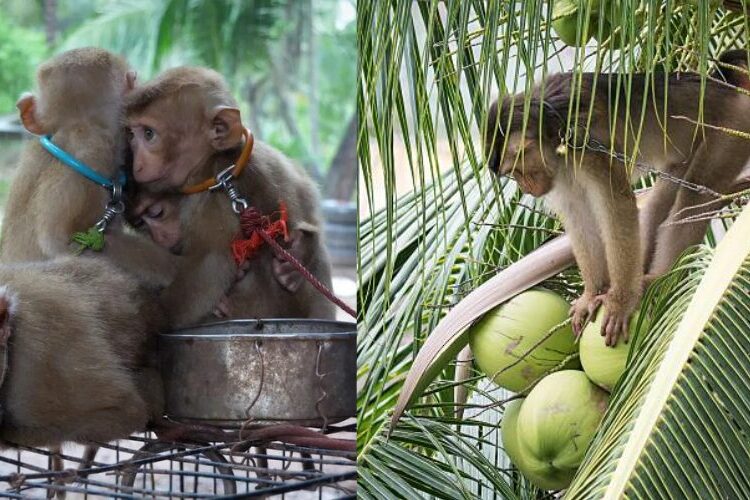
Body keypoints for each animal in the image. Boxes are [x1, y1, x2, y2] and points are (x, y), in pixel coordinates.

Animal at [125, 67, 337, 327]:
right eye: (131, 135)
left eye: (149, 134)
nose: (136, 164)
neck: (223, 169)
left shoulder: (212, 201)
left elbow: (209, 269)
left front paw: (160, 315)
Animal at [485, 69, 750, 346]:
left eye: (516, 172)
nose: (525, 188)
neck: (549, 124)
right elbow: (578, 214)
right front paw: (593, 294)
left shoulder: (586, 144)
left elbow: (617, 207)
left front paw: (621, 301)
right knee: (659, 204)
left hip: (734, 126)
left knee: (694, 193)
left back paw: (659, 277)